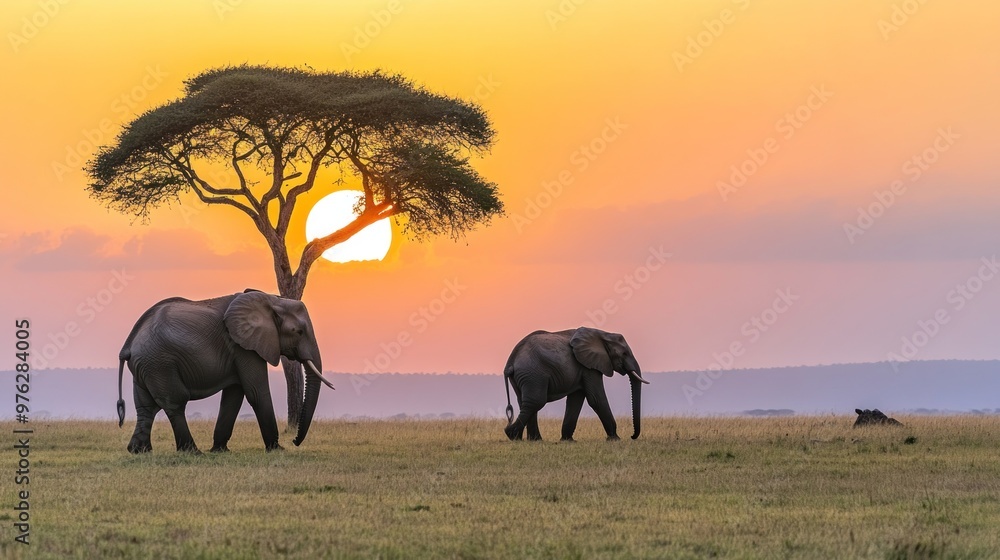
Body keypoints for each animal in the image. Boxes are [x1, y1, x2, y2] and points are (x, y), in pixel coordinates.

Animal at [116, 290, 336, 453]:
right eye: (298, 332)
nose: (295, 442)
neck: (272, 300)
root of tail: (129, 344)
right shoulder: (243, 347)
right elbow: (256, 392)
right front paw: (277, 449)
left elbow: (234, 396)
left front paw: (220, 450)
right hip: (161, 364)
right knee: (175, 403)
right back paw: (192, 452)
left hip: (147, 366)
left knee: (145, 406)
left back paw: (139, 451)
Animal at [502, 327, 649, 441]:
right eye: (624, 353)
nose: (632, 436)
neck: (603, 334)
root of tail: (511, 361)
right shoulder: (589, 366)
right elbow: (596, 399)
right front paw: (615, 439)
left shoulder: (583, 367)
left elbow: (575, 400)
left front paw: (567, 440)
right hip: (534, 374)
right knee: (536, 401)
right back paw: (512, 435)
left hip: (526, 376)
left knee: (526, 402)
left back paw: (532, 440)